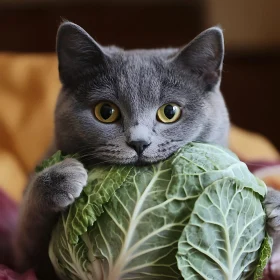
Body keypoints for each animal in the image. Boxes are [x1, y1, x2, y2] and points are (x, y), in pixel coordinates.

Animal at [14, 22, 280, 280]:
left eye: (170, 111)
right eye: (105, 112)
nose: (139, 143)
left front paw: (274, 203)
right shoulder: (26, 260)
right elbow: (26, 224)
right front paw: (61, 177)